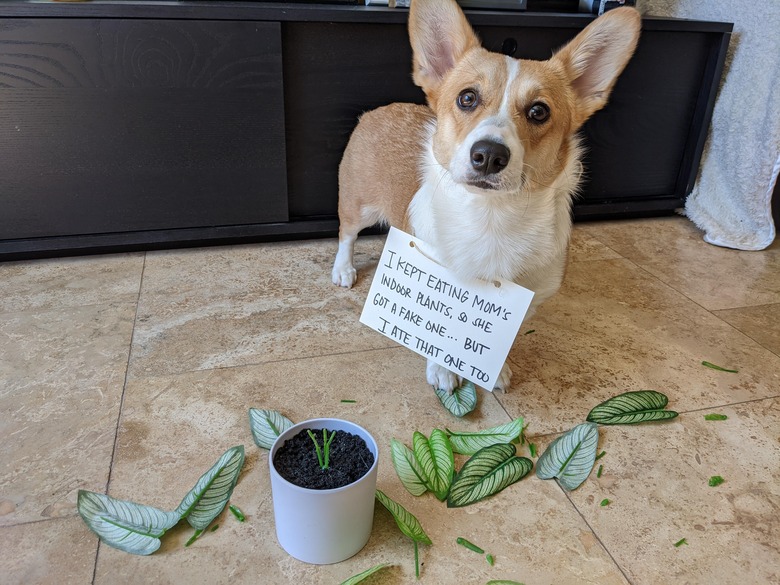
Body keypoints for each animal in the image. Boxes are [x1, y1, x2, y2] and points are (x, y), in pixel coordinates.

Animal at [330, 0, 640, 394]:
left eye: (539, 111)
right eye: (467, 98)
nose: (490, 155)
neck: (492, 217)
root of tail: (379, 109)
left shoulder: (526, 301)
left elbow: (505, 340)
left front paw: (495, 370)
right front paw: (443, 369)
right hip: (359, 204)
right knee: (347, 233)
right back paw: (343, 269)